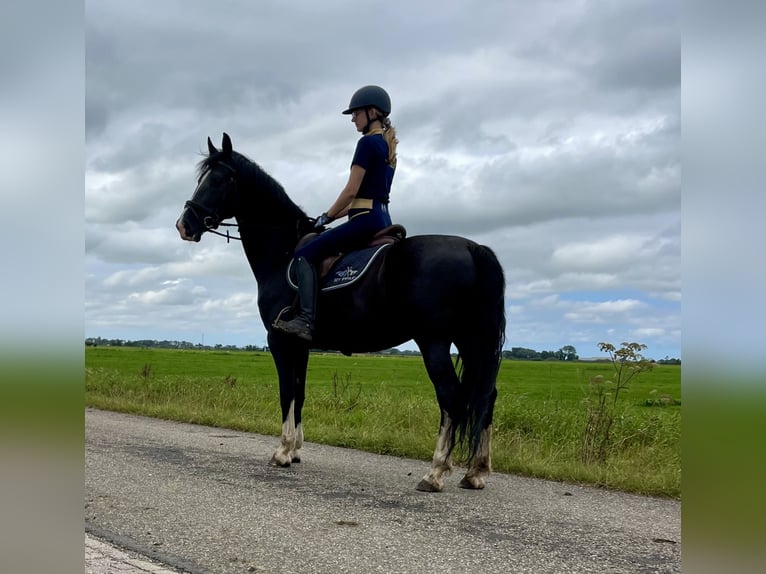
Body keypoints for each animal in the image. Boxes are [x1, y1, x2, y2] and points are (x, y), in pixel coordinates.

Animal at [176, 133, 508, 492]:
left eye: (218, 180)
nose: (184, 225)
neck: (283, 251)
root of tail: (474, 248)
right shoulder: (301, 344)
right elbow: (300, 392)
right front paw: (295, 451)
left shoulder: (279, 340)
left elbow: (286, 391)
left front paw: (282, 452)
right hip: (471, 341)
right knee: (487, 395)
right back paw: (475, 471)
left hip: (434, 342)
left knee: (451, 397)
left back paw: (435, 472)